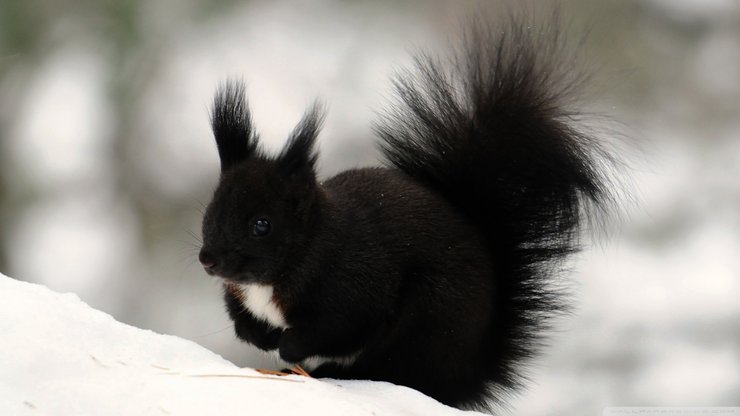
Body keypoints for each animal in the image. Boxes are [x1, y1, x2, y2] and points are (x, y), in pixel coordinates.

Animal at [199, 14, 616, 412]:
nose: (208, 260)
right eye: (210, 212)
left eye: (262, 225)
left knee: (395, 371)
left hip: (426, 323)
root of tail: (470, 374)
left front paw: (287, 346)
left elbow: (335, 329)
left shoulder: (355, 287)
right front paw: (258, 335)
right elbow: (242, 320)